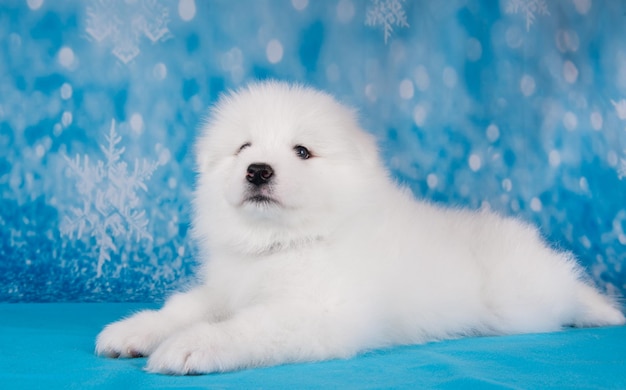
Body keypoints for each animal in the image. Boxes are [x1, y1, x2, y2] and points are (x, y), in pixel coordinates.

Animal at [94, 80, 624, 374]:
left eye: (302, 151)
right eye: (244, 147)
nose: (258, 170)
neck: (286, 242)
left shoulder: (317, 312)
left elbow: (247, 326)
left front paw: (191, 346)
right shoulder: (227, 286)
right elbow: (186, 307)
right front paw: (135, 331)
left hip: (520, 299)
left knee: (565, 288)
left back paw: (599, 309)